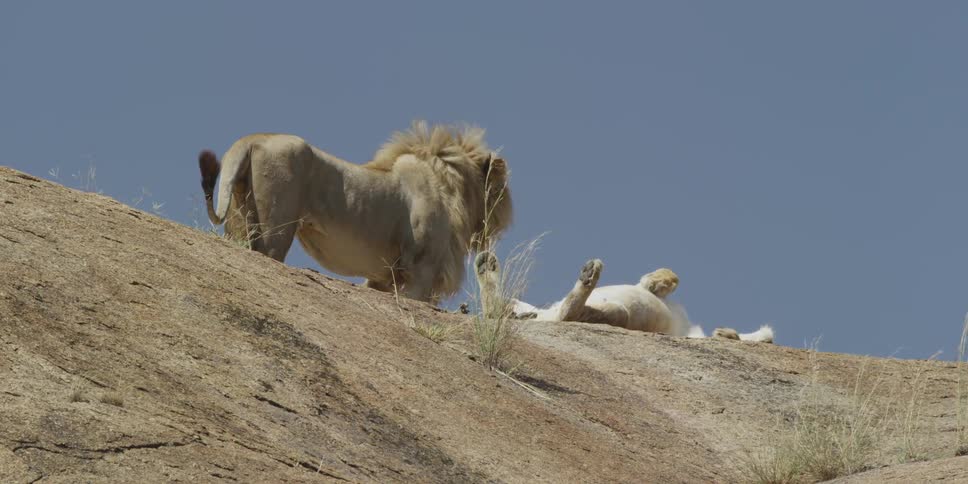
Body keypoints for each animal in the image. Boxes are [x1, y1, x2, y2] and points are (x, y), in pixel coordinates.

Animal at [198, 121, 513, 303]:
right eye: (502, 189)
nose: (506, 220)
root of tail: (250, 140)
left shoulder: (385, 277)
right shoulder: (421, 268)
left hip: (239, 219)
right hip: (276, 226)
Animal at [474, 252, 774, 343]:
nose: (726, 331)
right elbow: (671, 277)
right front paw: (658, 280)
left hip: (618, 313)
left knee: (567, 314)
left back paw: (589, 273)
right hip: (524, 307)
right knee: (496, 309)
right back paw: (485, 263)